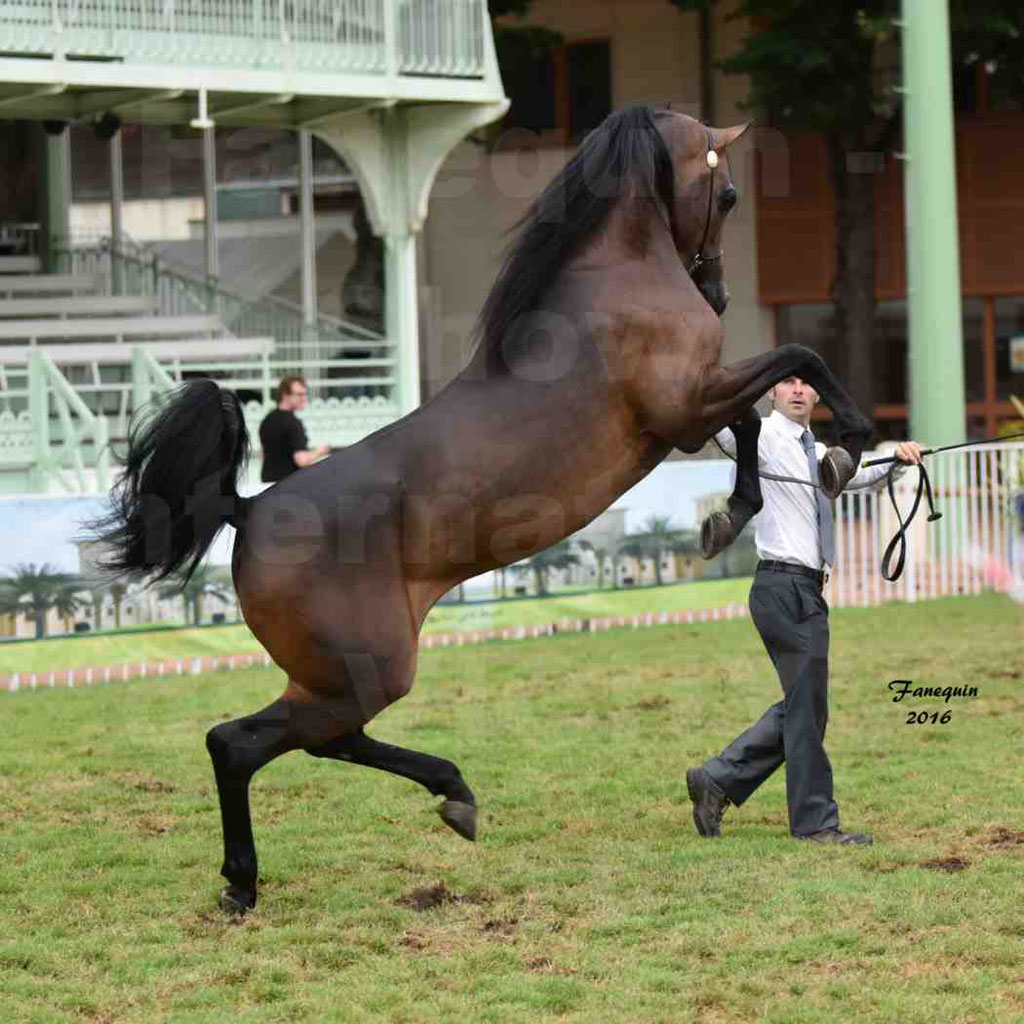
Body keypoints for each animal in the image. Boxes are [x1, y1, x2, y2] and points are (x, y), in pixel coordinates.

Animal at [92, 108, 872, 917]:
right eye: (728, 196)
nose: (716, 292)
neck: (615, 284)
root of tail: (247, 511)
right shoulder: (686, 407)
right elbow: (798, 359)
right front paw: (846, 444)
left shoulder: (695, 409)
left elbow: (754, 419)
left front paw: (734, 512)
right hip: (366, 670)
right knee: (247, 742)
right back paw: (253, 878)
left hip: (341, 675)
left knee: (305, 740)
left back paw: (445, 797)